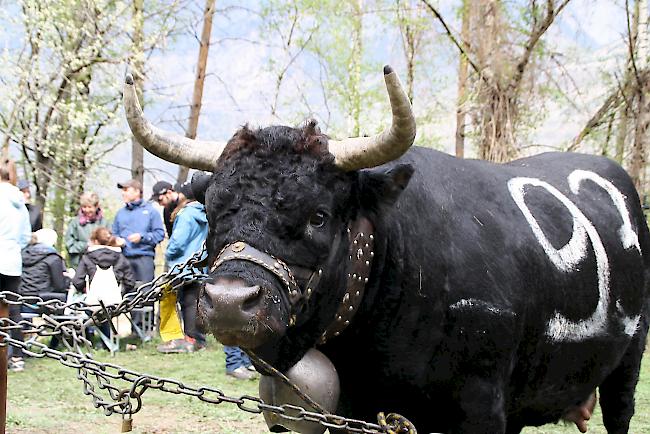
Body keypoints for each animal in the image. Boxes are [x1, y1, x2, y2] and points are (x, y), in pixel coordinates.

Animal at [190, 140, 644, 434]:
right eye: (211, 210)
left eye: (318, 216)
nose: (229, 301)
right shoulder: (353, 411)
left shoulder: (481, 407)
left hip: (629, 358)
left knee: (620, 412)